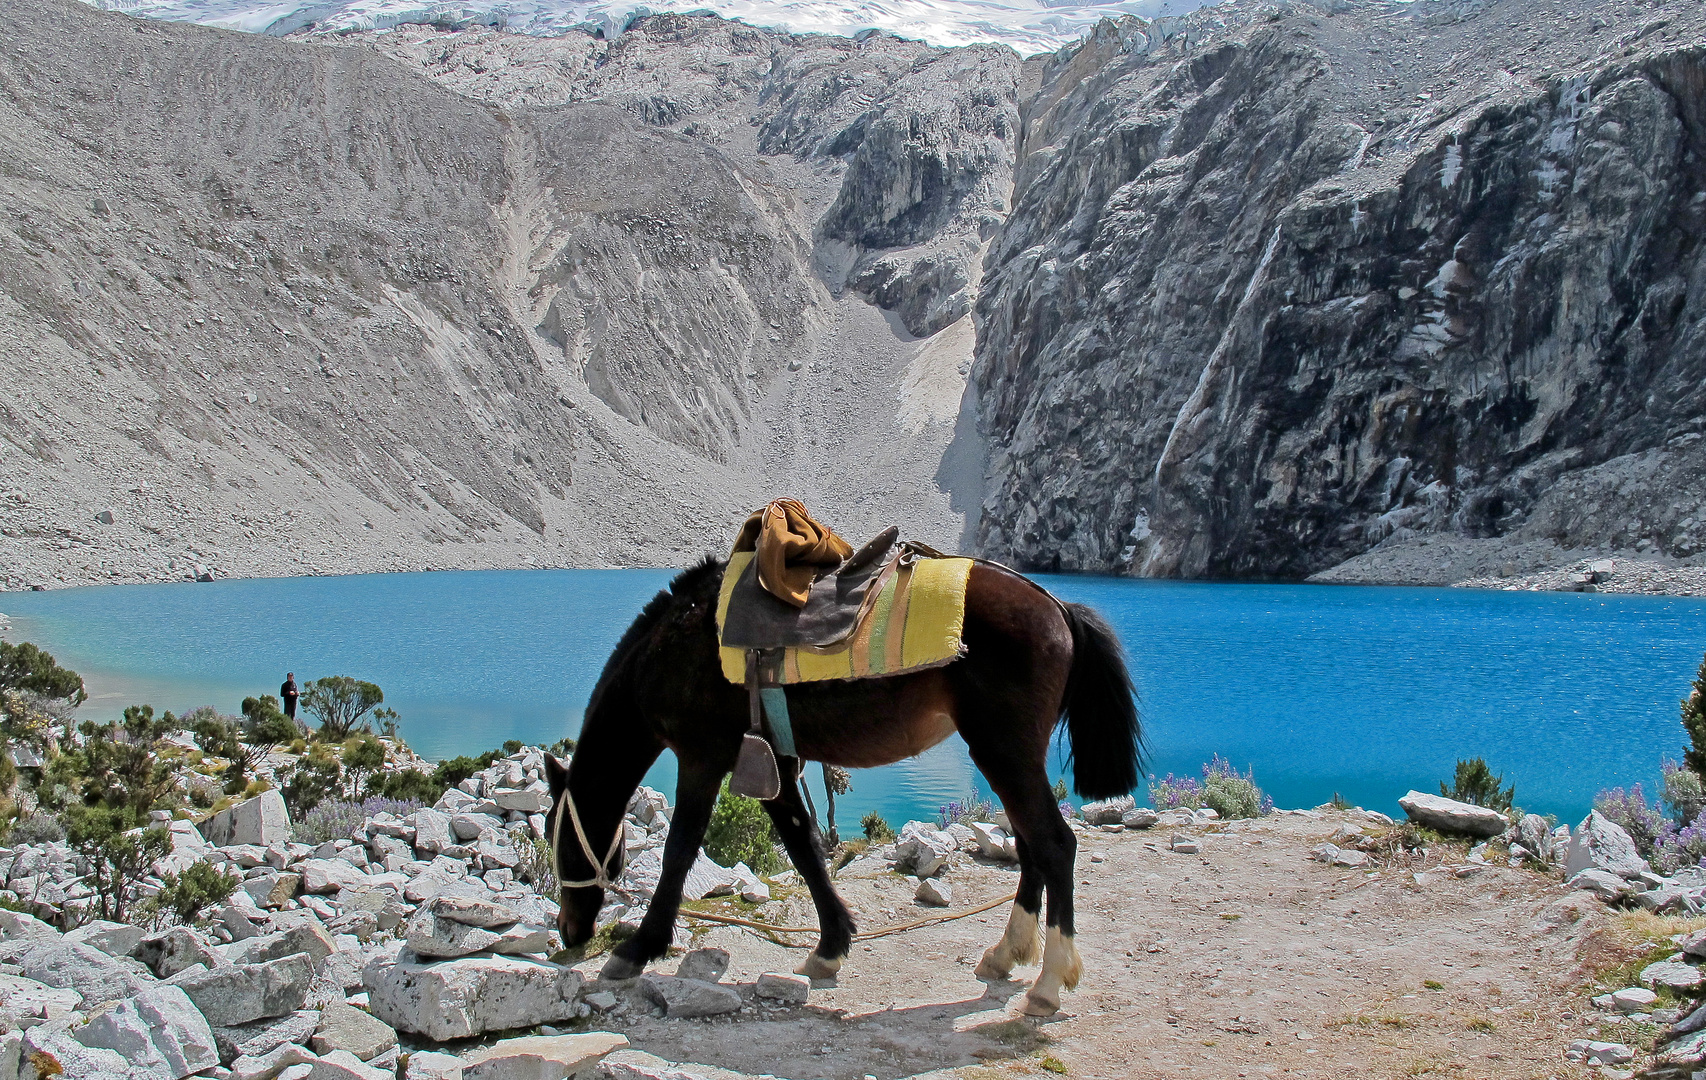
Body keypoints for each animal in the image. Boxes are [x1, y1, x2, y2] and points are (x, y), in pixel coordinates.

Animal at [539, 552, 1139, 1016]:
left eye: (556, 837)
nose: (569, 932)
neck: (675, 645)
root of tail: (1057, 607)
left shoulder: (702, 758)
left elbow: (680, 850)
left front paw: (639, 947)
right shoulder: (775, 762)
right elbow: (803, 844)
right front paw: (830, 945)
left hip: (1004, 752)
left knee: (1054, 844)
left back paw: (1048, 982)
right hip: (1009, 757)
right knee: (1030, 844)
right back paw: (1006, 954)